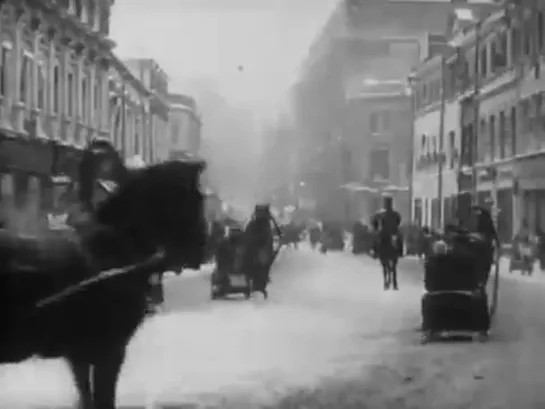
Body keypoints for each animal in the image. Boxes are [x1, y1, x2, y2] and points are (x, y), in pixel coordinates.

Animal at [0, 139, 206, 406]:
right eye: (197, 198)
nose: (203, 249)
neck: (119, 244)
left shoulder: (78, 356)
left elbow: (86, 397)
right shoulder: (110, 351)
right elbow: (103, 399)